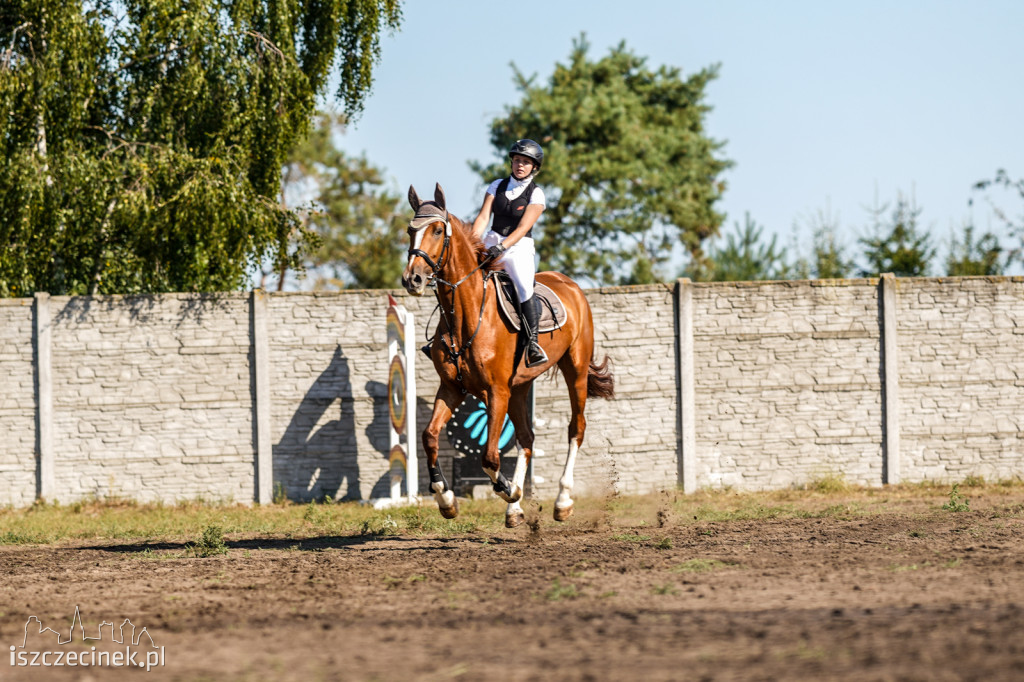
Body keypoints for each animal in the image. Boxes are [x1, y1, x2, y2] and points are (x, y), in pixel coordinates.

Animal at [401, 182, 610, 524]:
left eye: (437, 230)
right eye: (410, 230)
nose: (412, 279)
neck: (466, 315)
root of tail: (570, 284)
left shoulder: (495, 391)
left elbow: (489, 456)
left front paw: (509, 490)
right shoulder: (452, 388)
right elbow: (429, 436)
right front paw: (446, 499)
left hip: (575, 371)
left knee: (575, 429)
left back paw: (561, 501)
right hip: (520, 387)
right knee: (526, 438)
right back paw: (515, 510)